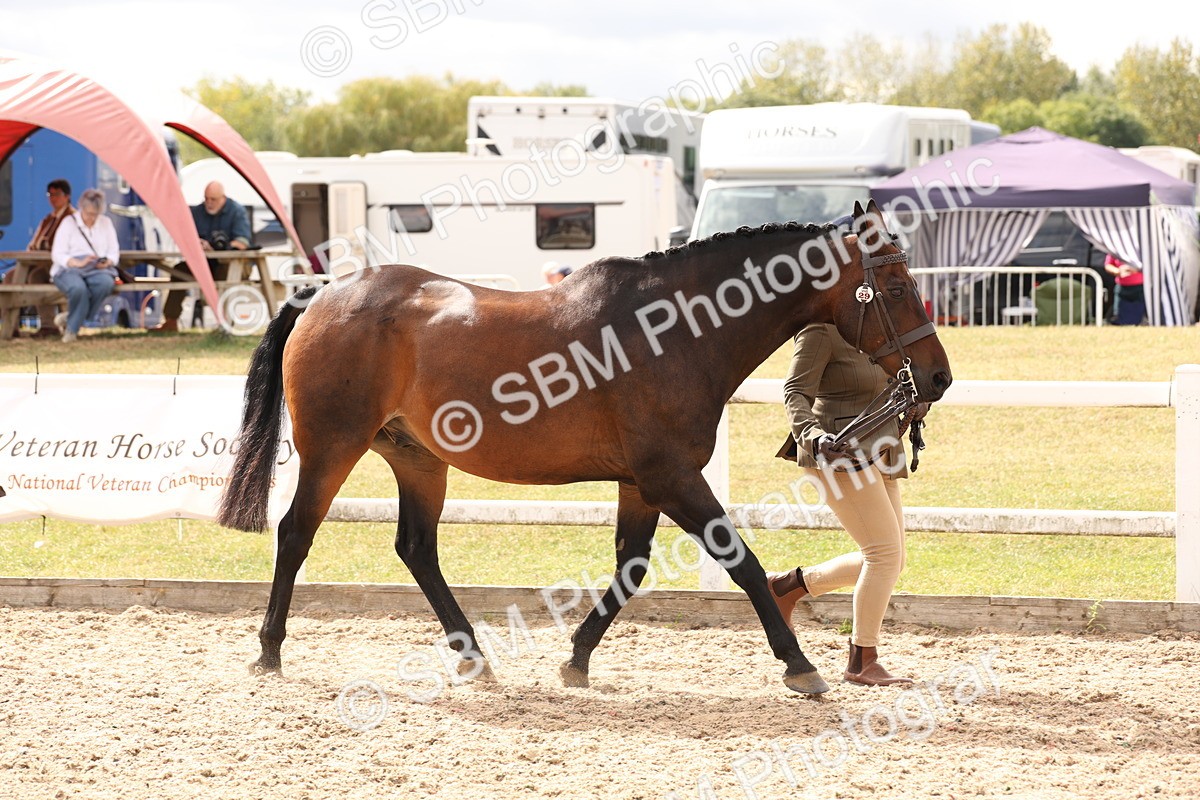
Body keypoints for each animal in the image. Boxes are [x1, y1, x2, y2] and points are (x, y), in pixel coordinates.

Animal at [218, 199, 952, 695]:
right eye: (894, 286)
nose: (938, 377)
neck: (672, 331)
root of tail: (321, 296)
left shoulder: (641, 482)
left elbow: (631, 566)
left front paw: (575, 659)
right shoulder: (672, 476)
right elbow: (740, 561)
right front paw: (799, 664)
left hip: (417, 458)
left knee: (416, 549)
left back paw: (474, 657)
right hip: (331, 447)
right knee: (296, 533)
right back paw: (269, 651)